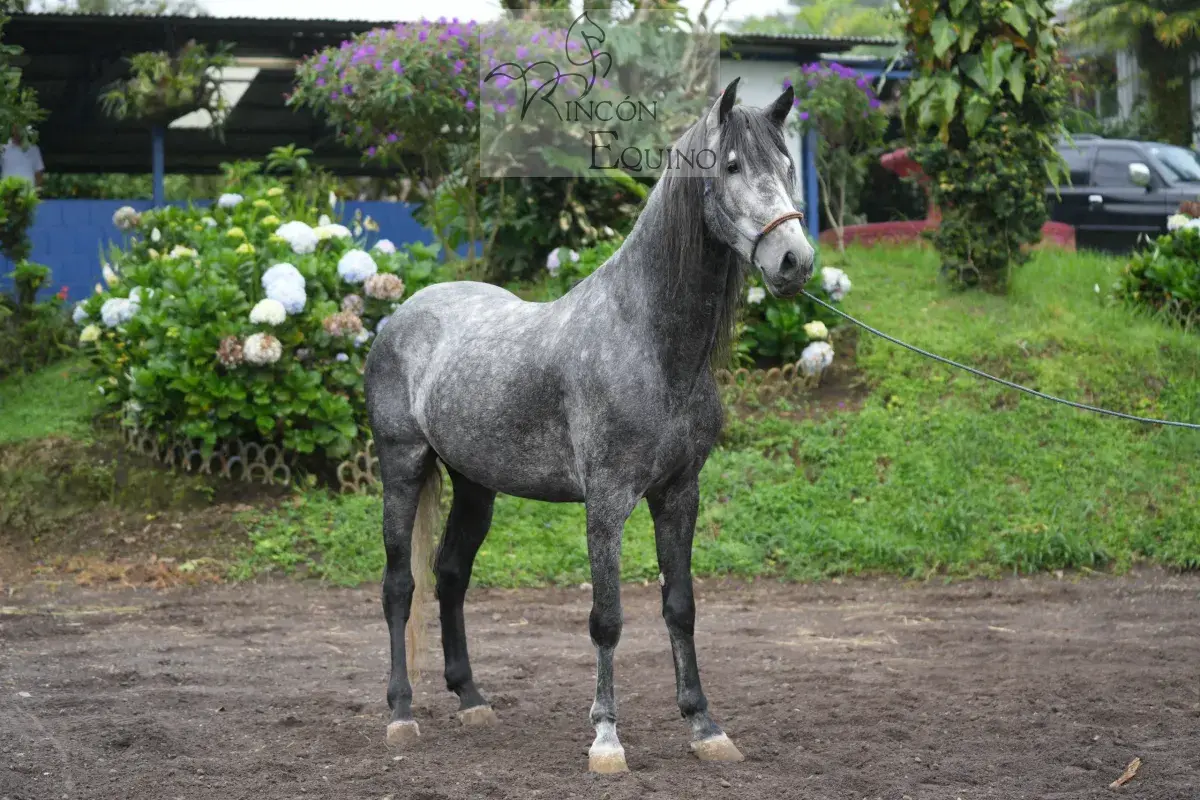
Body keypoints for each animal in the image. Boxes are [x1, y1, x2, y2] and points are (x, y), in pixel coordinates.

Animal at [363, 76, 815, 773]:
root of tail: (404, 313)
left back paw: (472, 700)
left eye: (788, 166)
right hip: (402, 466)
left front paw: (705, 726)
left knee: (450, 575)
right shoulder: (606, 501)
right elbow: (607, 617)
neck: (649, 343)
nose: (794, 260)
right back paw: (401, 714)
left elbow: (680, 607)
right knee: (398, 585)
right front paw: (606, 738)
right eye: (734, 165)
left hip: (475, 485)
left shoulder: (679, 494)